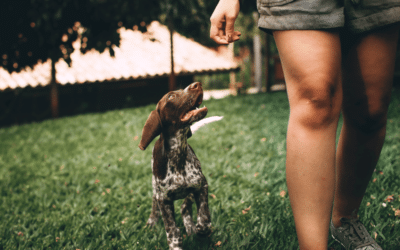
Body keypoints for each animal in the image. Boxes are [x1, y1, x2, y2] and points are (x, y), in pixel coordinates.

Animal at [138, 82, 211, 250]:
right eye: (171, 96)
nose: (197, 84)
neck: (178, 154)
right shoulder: (163, 199)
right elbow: (172, 231)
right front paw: (176, 244)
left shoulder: (201, 185)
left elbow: (204, 218)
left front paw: (200, 230)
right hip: (155, 187)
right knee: (154, 204)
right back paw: (152, 221)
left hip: (190, 191)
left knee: (185, 207)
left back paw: (190, 226)